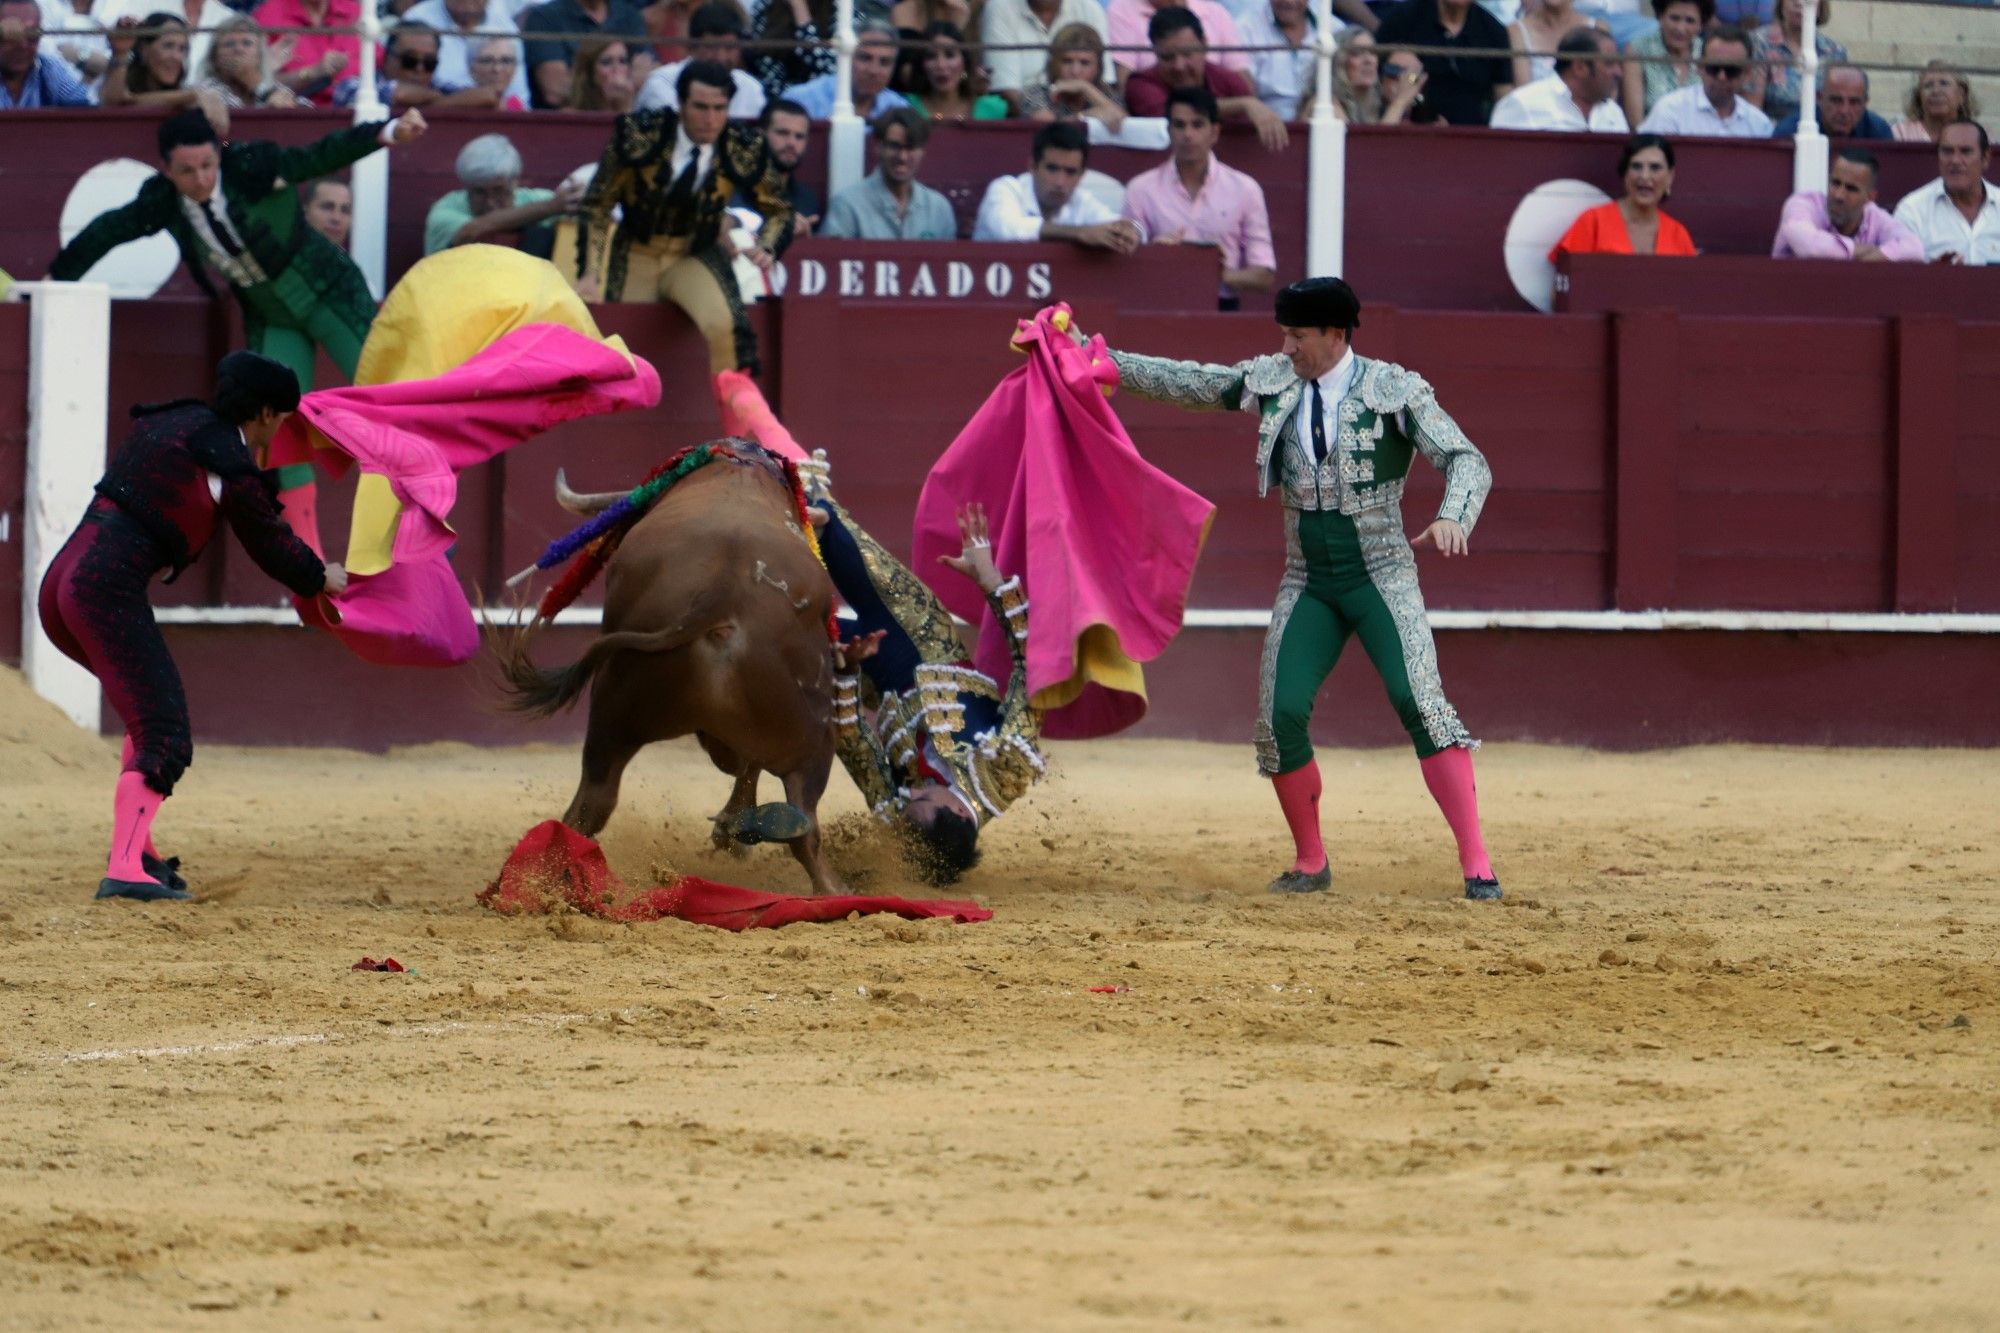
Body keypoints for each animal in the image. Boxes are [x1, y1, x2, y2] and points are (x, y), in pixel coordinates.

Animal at [504, 446, 848, 892]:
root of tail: (720, 593)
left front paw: (731, 832)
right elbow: (750, 767)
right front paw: (732, 833)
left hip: (614, 709)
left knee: (591, 803)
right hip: (816, 737)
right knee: (805, 825)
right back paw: (833, 889)